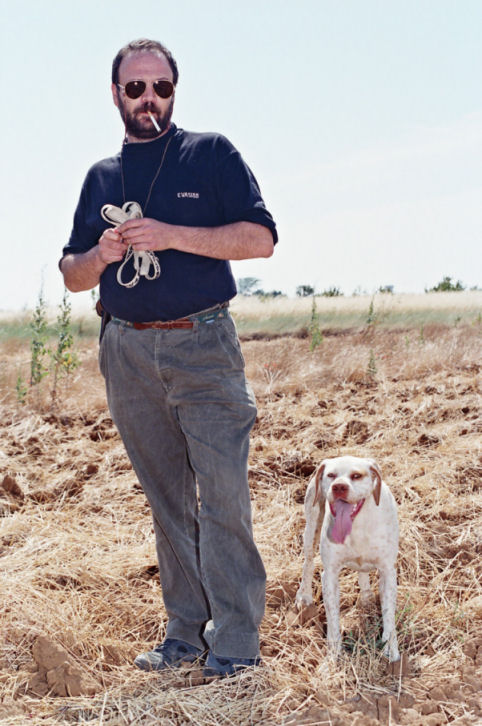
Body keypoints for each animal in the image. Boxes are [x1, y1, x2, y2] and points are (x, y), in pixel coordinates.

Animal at [296, 458, 402, 664]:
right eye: (331, 475)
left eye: (356, 475)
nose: (339, 487)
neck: (357, 526)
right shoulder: (330, 574)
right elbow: (333, 619)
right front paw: (333, 655)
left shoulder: (387, 571)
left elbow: (389, 613)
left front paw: (390, 648)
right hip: (311, 527)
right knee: (308, 562)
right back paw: (304, 597)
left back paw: (367, 598)